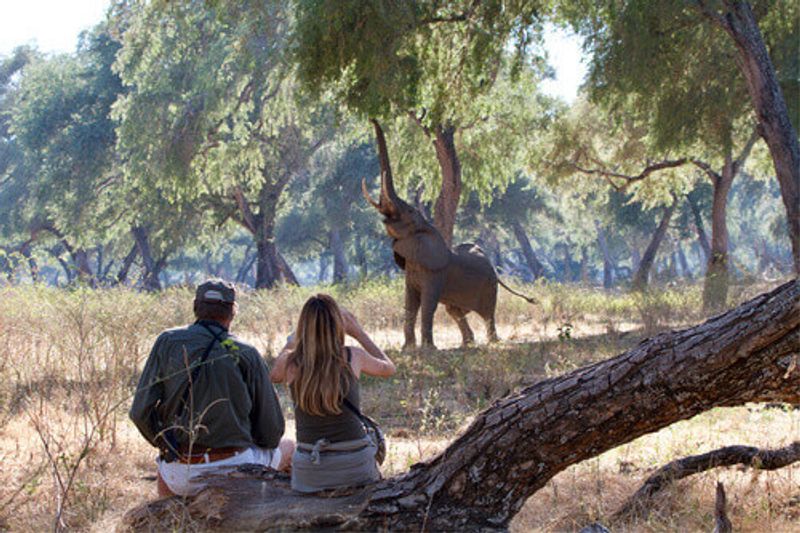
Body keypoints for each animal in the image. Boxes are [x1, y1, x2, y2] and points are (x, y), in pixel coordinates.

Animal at [360, 118, 536, 348]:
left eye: (409, 212)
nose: (372, 118)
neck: (426, 230)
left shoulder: (435, 273)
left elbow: (427, 304)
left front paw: (428, 349)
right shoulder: (412, 268)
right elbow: (410, 304)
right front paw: (408, 349)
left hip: (490, 285)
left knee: (487, 313)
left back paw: (493, 342)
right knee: (454, 310)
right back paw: (467, 344)